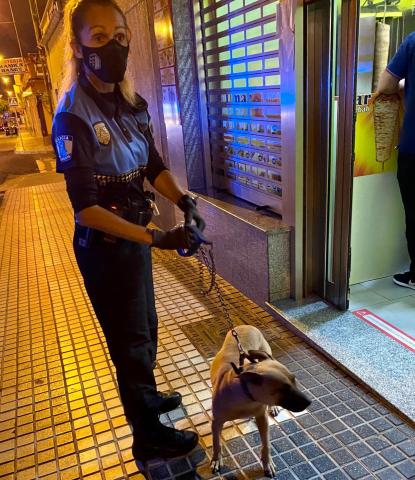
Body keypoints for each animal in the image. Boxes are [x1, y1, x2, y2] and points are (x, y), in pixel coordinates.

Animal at [211, 324, 312, 478]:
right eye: (283, 390)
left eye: (294, 380)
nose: (309, 402)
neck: (246, 396)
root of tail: (245, 325)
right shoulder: (216, 422)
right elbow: (216, 442)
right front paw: (216, 459)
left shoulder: (262, 418)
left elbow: (266, 444)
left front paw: (267, 462)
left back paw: (273, 407)